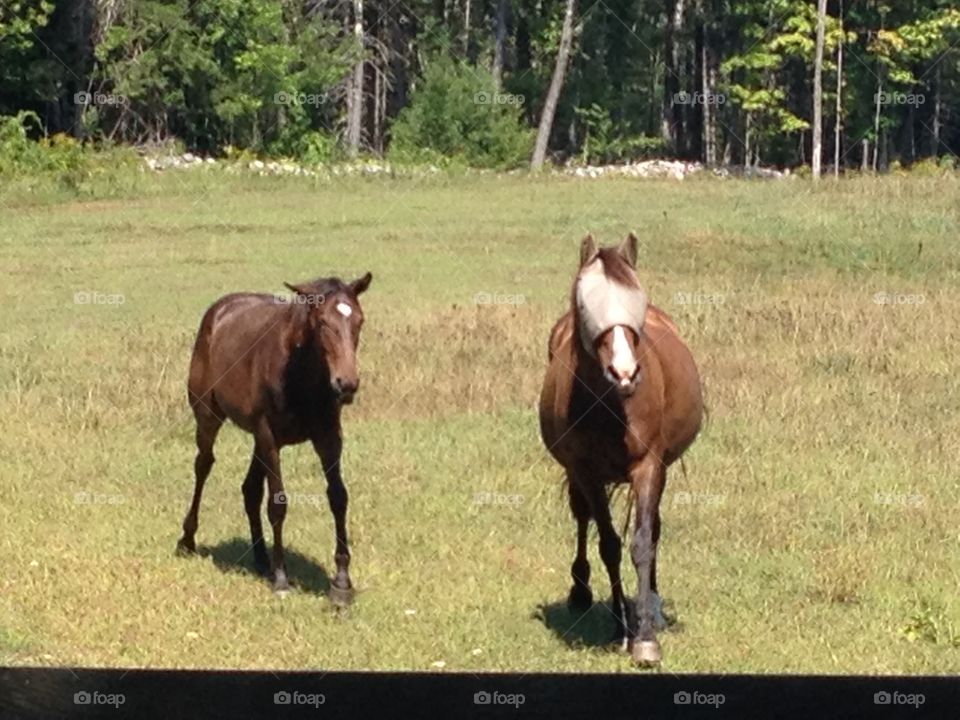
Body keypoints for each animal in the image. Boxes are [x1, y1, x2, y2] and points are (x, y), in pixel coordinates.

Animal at [176, 272, 372, 603]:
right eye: (322, 322)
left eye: (359, 320)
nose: (346, 384)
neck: (301, 375)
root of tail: (219, 311)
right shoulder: (268, 434)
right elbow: (278, 503)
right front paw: (281, 579)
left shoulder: (329, 437)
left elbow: (338, 496)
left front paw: (342, 583)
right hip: (209, 417)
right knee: (203, 465)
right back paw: (187, 540)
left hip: (259, 439)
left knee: (250, 489)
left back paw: (260, 557)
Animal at [539, 234, 703, 665]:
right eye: (584, 303)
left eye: (636, 299)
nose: (625, 372)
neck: (611, 405)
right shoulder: (587, 472)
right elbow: (608, 544)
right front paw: (619, 627)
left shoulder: (649, 466)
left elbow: (643, 542)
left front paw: (645, 637)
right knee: (582, 519)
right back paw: (581, 592)